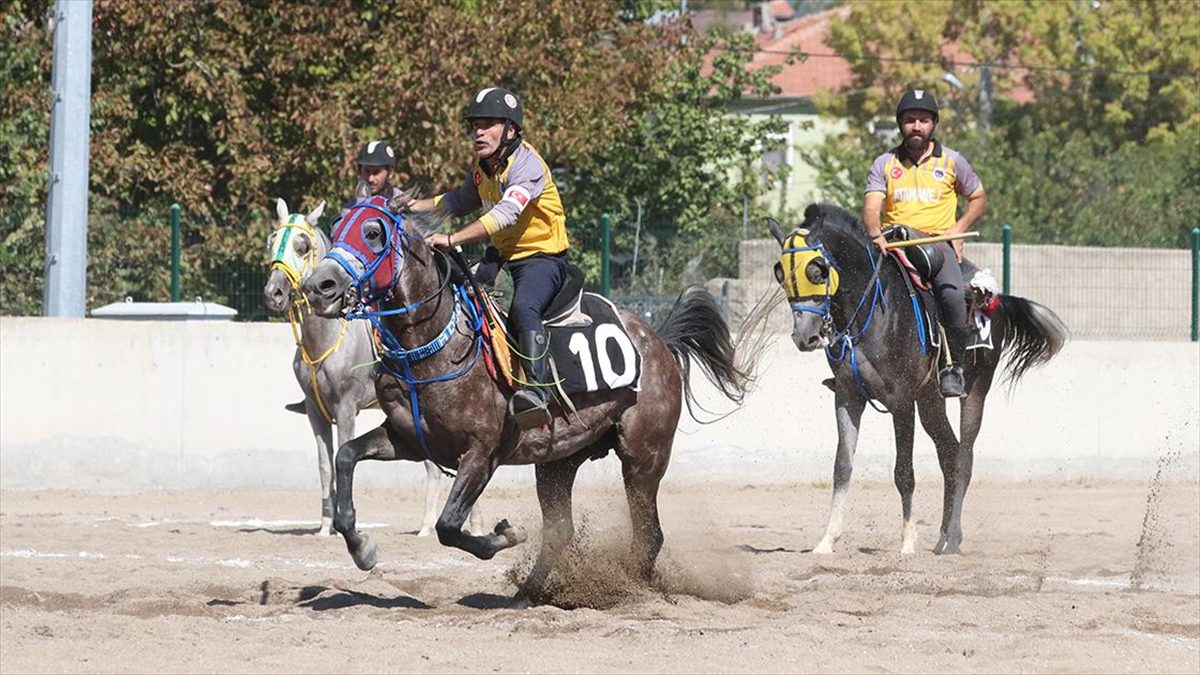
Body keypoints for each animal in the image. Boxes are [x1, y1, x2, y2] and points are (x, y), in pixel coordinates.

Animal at [262, 196, 477, 533]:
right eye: (271, 242)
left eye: (301, 246)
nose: (275, 292)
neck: (325, 339)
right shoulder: (315, 410)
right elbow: (325, 466)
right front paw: (326, 527)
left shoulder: (346, 408)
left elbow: (342, 454)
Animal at [302, 196, 748, 600]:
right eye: (337, 227)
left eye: (373, 233)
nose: (319, 286)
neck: (434, 346)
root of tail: (659, 342)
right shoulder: (408, 440)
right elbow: (345, 456)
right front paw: (362, 548)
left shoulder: (482, 452)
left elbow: (449, 525)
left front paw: (507, 534)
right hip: (558, 463)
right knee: (562, 532)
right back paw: (527, 593)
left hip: (643, 458)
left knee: (649, 534)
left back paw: (631, 588)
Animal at [772, 204, 1065, 552]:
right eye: (779, 273)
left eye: (816, 270)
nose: (805, 336)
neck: (873, 311)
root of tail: (996, 299)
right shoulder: (847, 397)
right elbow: (842, 467)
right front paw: (827, 541)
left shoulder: (901, 402)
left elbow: (904, 473)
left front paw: (908, 542)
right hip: (930, 401)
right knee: (949, 454)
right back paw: (943, 537)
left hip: (974, 392)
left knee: (964, 460)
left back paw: (952, 540)